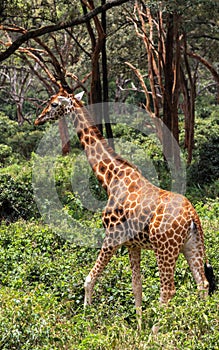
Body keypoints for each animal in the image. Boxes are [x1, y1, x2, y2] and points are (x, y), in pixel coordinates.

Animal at [34, 87, 216, 320]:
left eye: (54, 104)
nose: (38, 119)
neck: (111, 178)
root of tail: (192, 216)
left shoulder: (112, 236)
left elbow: (89, 279)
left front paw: (86, 318)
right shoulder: (132, 244)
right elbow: (136, 287)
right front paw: (139, 325)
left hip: (164, 248)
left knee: (168, 290)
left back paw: (157, 329)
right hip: (191, 244)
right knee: (202, 283)